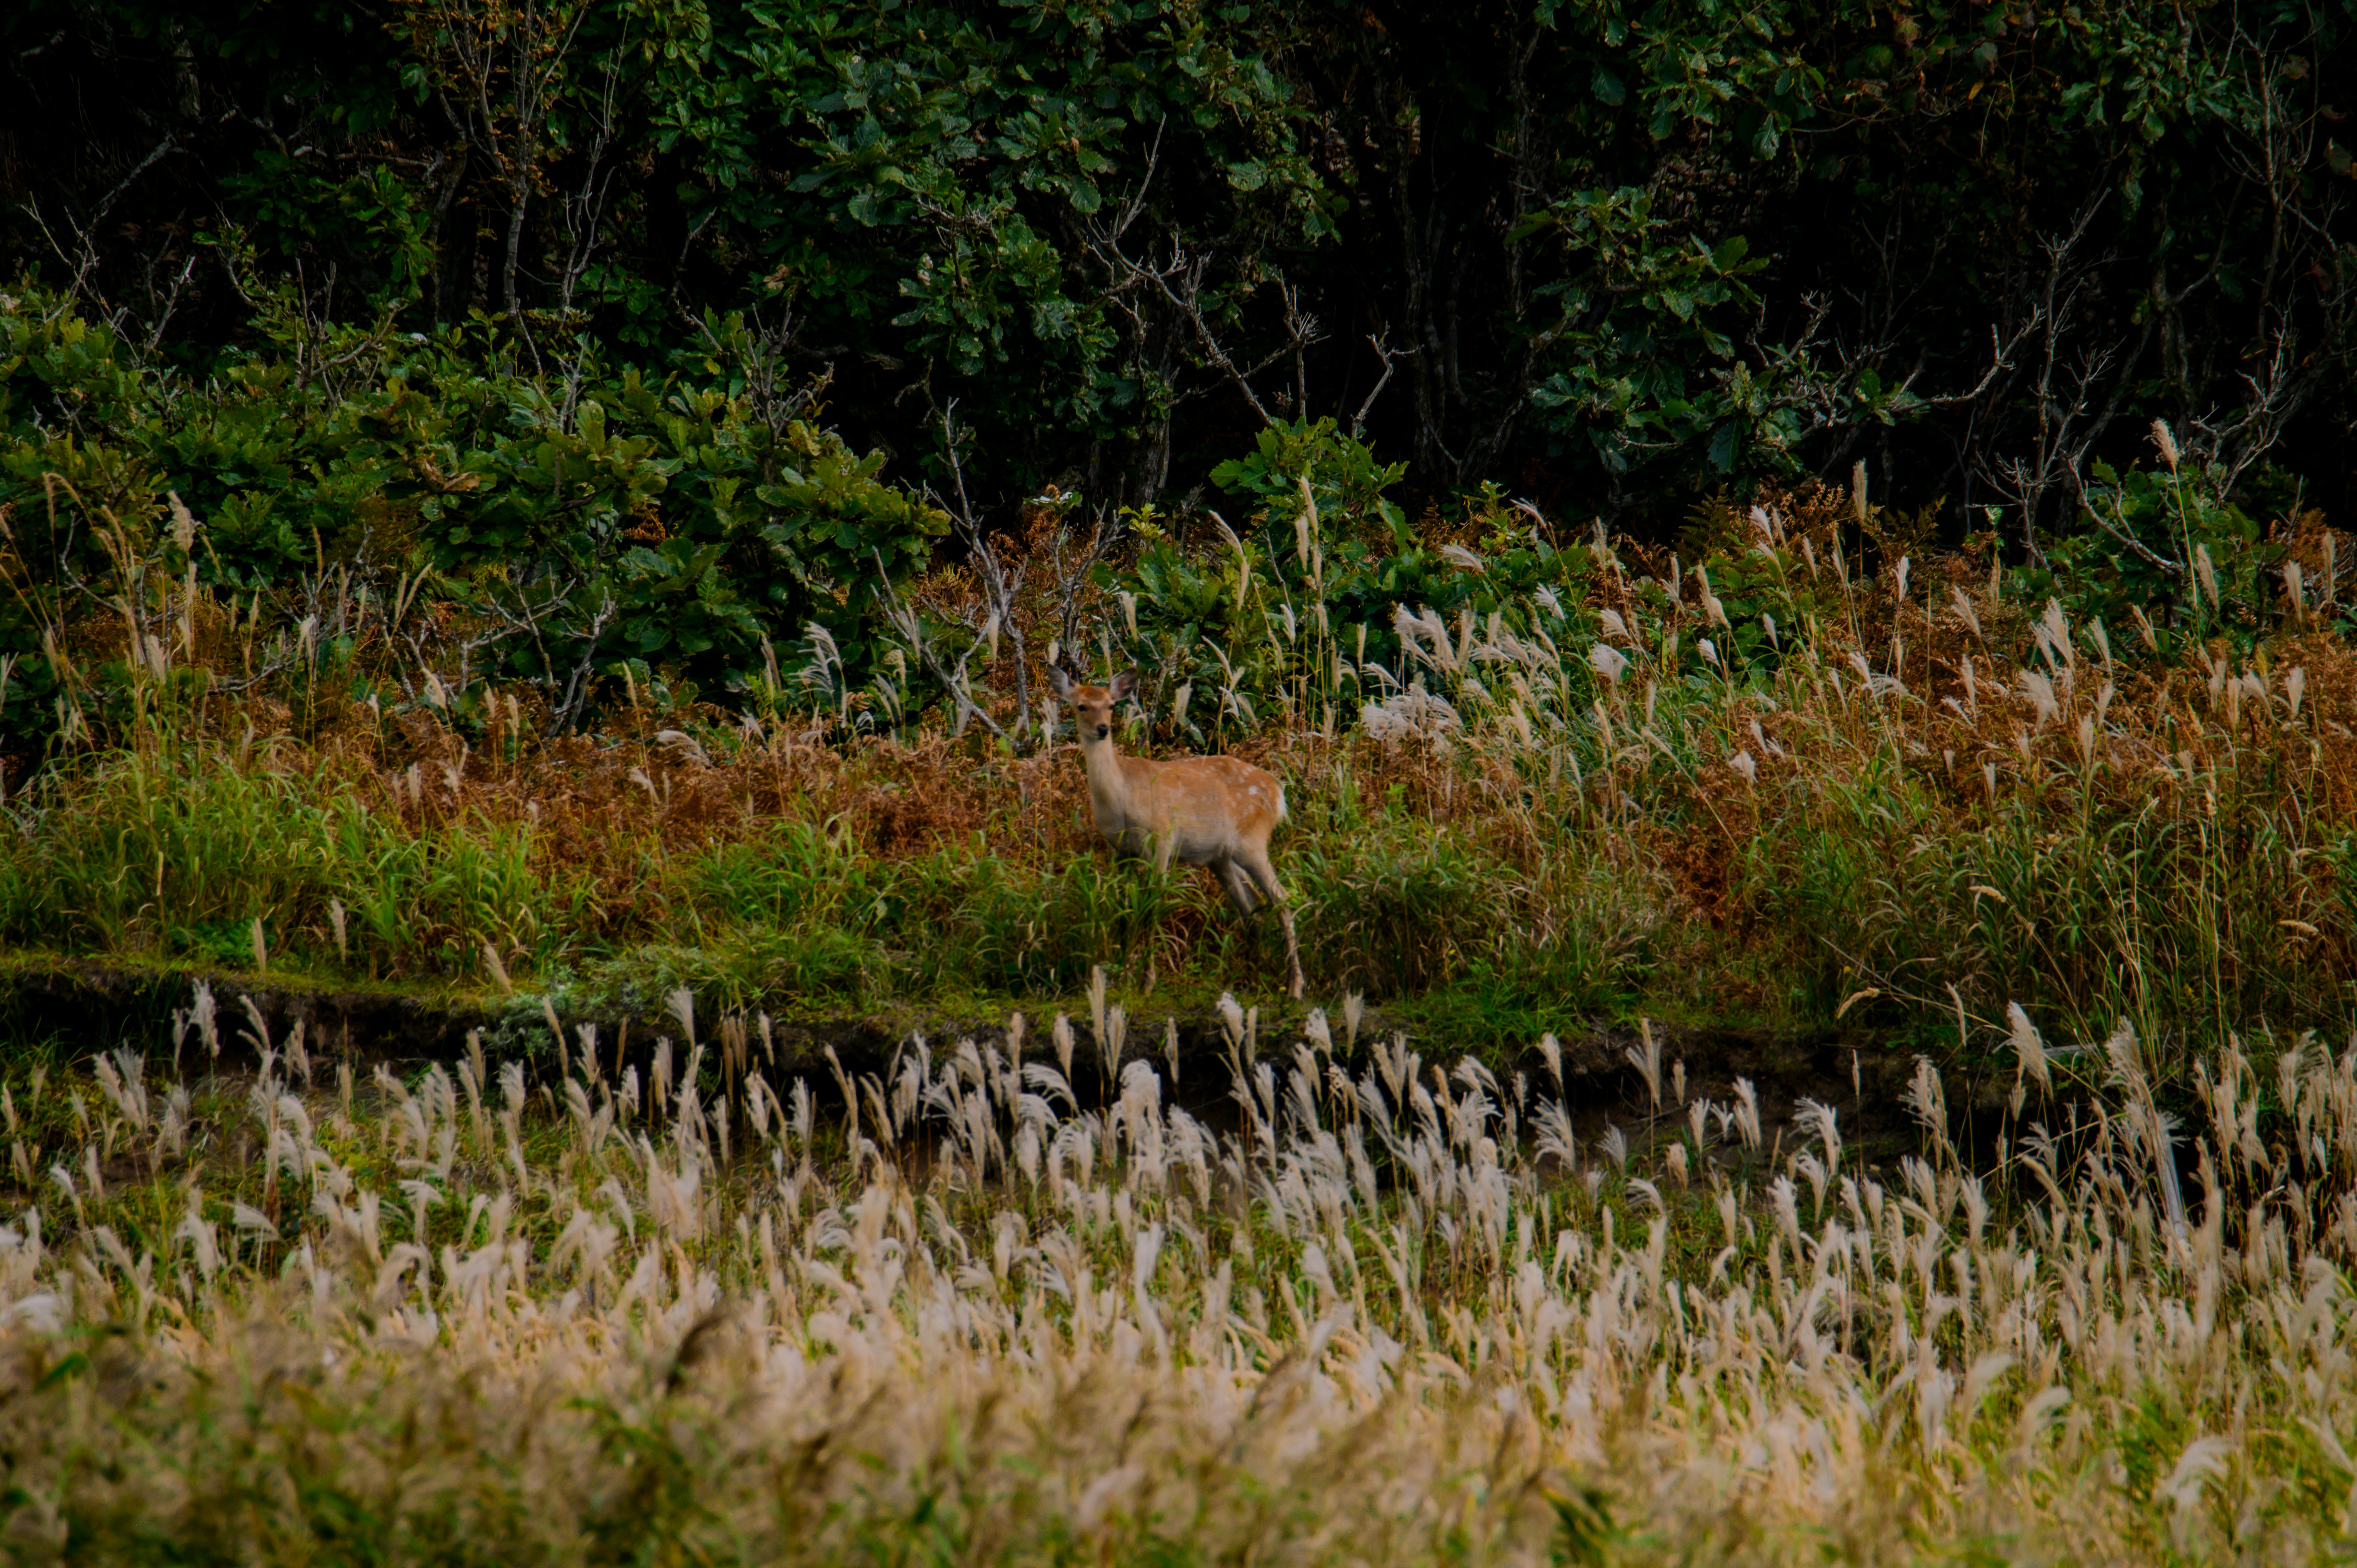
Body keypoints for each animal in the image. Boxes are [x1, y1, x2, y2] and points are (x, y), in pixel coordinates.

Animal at [1046, 665, 1304, 999]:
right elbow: (1126, 907)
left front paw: (1147, 981)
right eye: (1081, 706)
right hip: (1221, 858)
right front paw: (1125, 975)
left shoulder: (1162, 839)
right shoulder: (1120, 850)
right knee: (1253, 910)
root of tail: (1278, 793)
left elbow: (1153, 906)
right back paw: (1252, 977)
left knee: (1283, 899)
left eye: (1111, 705)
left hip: (1253, 842)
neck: (1121, 800)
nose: (1103, 728)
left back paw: (1295, 987)